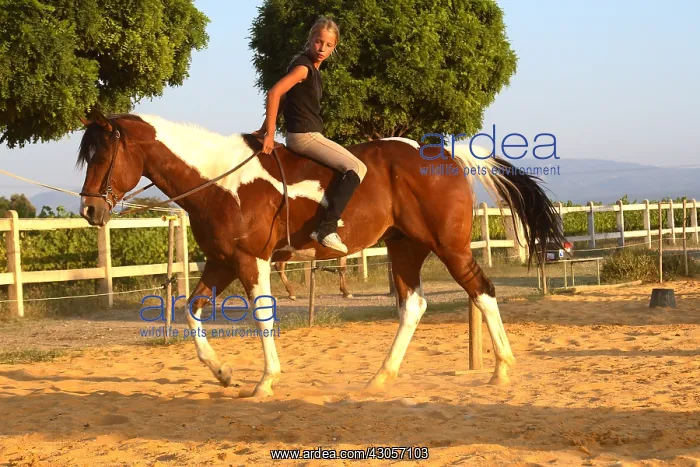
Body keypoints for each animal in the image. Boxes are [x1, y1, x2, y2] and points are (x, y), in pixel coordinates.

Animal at [76, 111, 565, 397]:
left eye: (101, 154)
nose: (90, 210)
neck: (219, 180)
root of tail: (446, 156)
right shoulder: (221, 261)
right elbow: (191, 309)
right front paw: (223, 374)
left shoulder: (251, 260)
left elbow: (262, 316)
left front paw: (265, 380)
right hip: (405, 247)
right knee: (414, 305)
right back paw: (381, 377)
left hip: (449, 247)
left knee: (482, 291)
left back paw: (501, 370)